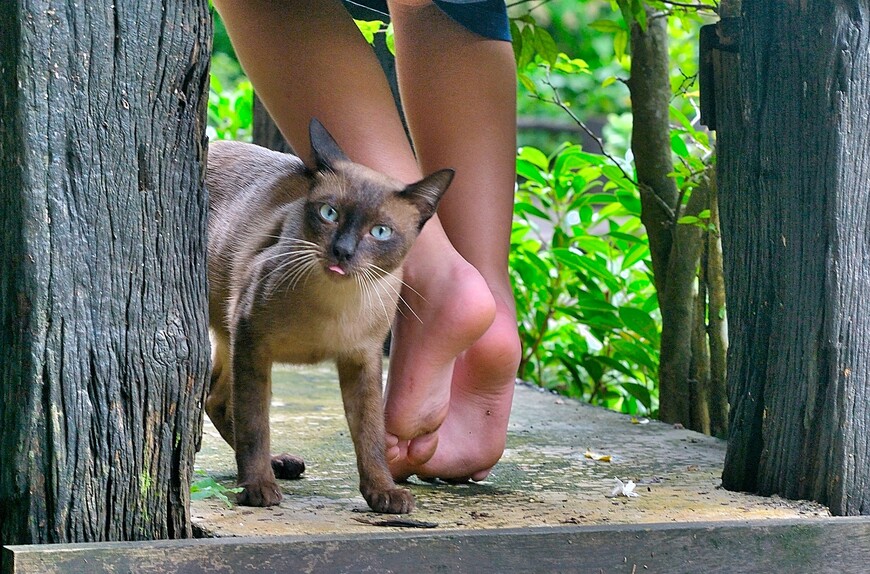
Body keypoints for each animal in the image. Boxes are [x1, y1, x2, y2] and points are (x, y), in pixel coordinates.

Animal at [203, 119, 450, 516]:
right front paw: (257, 488)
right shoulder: (251, 342)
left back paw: (279, 463)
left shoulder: (361, 361)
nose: (342, 251)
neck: (335, 306)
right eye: (329, 213)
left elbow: (370, 435)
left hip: (227, 338)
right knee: (226, 405)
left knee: (217, 399)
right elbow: (255, 423)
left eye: (380, 232)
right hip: (229, 334)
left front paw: (383, 492)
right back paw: (264, 472)